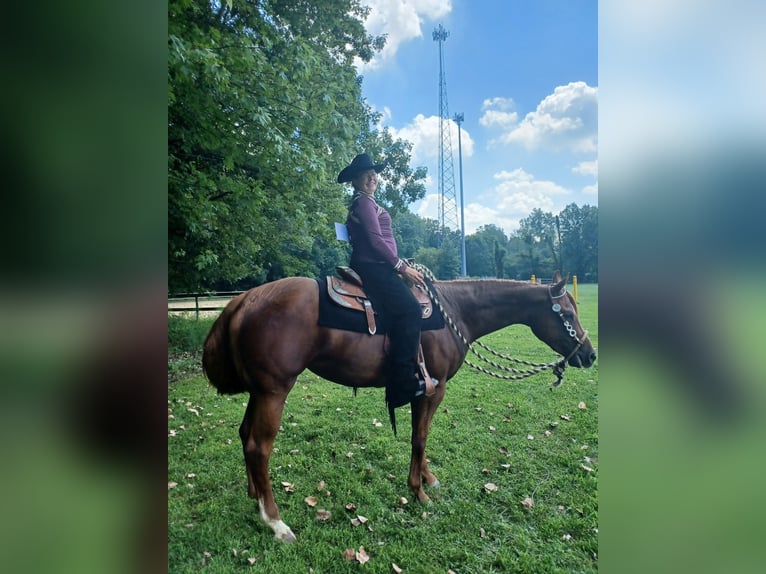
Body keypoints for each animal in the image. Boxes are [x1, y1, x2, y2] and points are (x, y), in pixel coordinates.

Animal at [202, 270, 596, 543]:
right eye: (567, 314)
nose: (589, 355)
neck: (454, 312)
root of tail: (244, 299)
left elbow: (421, 436)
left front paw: (428, 479)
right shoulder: (433, 389)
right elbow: (419, 438)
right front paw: (418, 491)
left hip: (259, 392)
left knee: (245, 437)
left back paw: (255, 496)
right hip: (273, 392)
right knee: (259, 447)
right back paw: (275, 521)